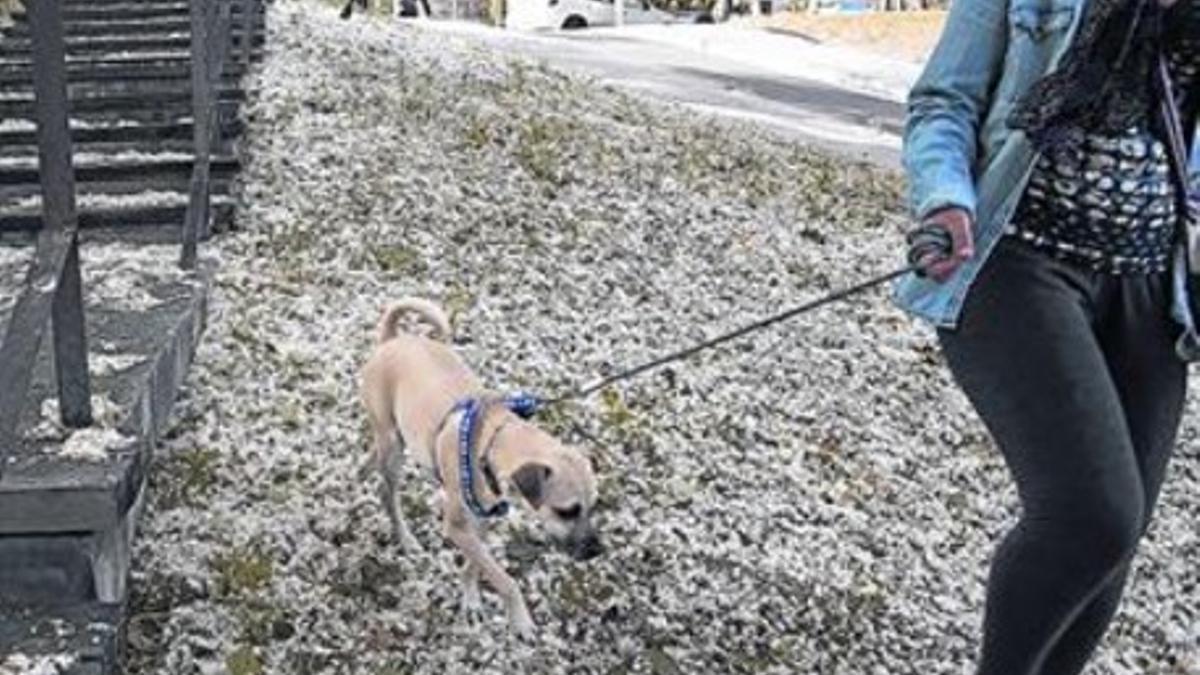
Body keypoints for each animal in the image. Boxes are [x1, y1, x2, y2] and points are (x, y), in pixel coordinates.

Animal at [352, 297, 600, 634]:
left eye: (592, 506)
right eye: (566, 511)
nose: (596, 551)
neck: (491, 442)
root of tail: (392, 339)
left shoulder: (482, 519)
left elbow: (476, 565)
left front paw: (470, 599)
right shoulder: (457, 527)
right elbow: (504, 579)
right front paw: (520, 619)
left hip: (396, 438)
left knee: (375, 453)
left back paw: (364, 468)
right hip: (393, 447)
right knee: (387, 494)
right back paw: (405, 538)